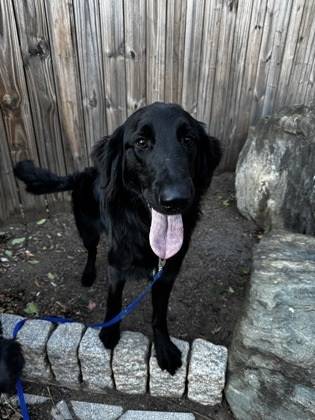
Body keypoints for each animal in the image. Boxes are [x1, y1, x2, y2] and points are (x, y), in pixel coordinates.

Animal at [14, 101, 222, 374]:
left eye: (188, 139)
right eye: (141, 142)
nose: (176, 199)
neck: (143, 228)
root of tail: (83, 173)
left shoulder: (166, 274)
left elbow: (159, 315)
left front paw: (164, 348)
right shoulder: (116, 264)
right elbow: (114, 301)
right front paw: (109, 333)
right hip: (88, 231)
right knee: (92, 251)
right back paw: (88, 274)